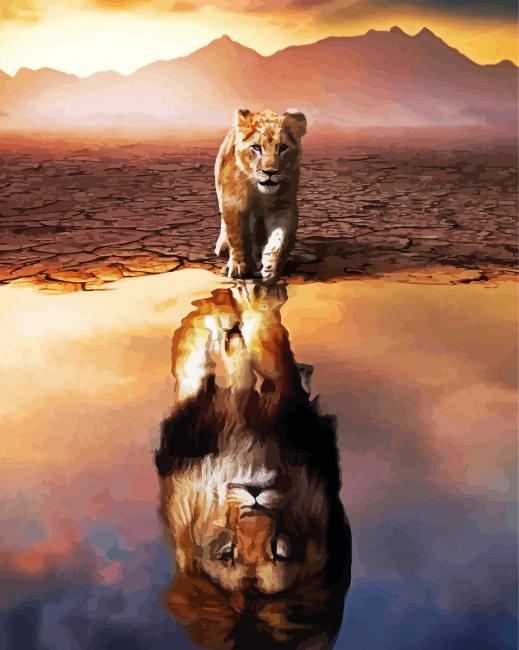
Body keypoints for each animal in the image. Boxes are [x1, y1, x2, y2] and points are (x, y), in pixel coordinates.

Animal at [156, 284, 351, 649]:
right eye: (227, 552)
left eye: (280, 551)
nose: (255, 494)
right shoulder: (192, 429)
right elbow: (197, 365)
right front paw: (216, 315)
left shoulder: (293, 417)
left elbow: (270, 352)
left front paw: (248, 309)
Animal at [214, 108, 307, 283]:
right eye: (256, 148)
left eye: (283, 148)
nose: (270, 172)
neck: (260, 192)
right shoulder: (234, 203)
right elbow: (237, 236)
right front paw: (237, 266)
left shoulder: (282, 206)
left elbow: (279, 238)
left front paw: (270, 266)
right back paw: (223, 246)